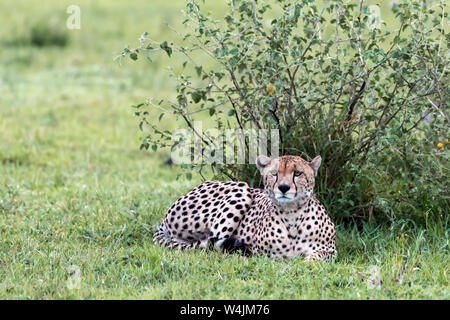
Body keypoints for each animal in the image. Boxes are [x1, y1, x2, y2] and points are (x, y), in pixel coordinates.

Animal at [153, 156, 336, 262]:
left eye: (297, 173)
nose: (283, 187)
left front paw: (308, 263)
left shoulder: (329, 250)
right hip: (241, 189)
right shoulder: (264, 253)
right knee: (208, 246)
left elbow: (317, 257)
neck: (292, 215)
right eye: (274, 173)